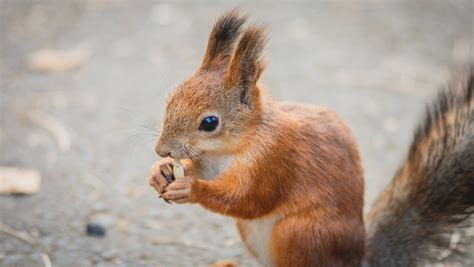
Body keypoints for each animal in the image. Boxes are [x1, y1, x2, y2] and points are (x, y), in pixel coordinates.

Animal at [146, 10, 472, 267]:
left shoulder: (274, 160)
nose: (161, 150)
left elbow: (248, 199)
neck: (231, 148)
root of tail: (357, 260)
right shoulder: (209, 160)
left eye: (210, 123)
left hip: (301, 233)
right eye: (172, 98)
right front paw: (159, 172)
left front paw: (191, 188)